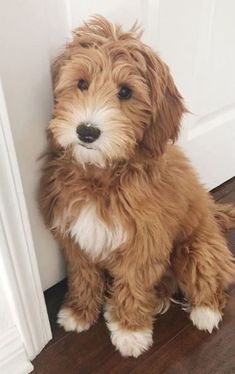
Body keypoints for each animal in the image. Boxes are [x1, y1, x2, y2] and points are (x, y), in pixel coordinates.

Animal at [39, 16, 235, 356]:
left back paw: (205, 312)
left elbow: (133, 283)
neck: (102, 177)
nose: (87, 132)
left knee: (213, 278)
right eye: (81, 84)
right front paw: (79, 311)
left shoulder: (144, 241)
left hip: (196, 249)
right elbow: (83, 275)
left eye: (126, 92)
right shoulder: (75, 236)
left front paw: (131, 330)